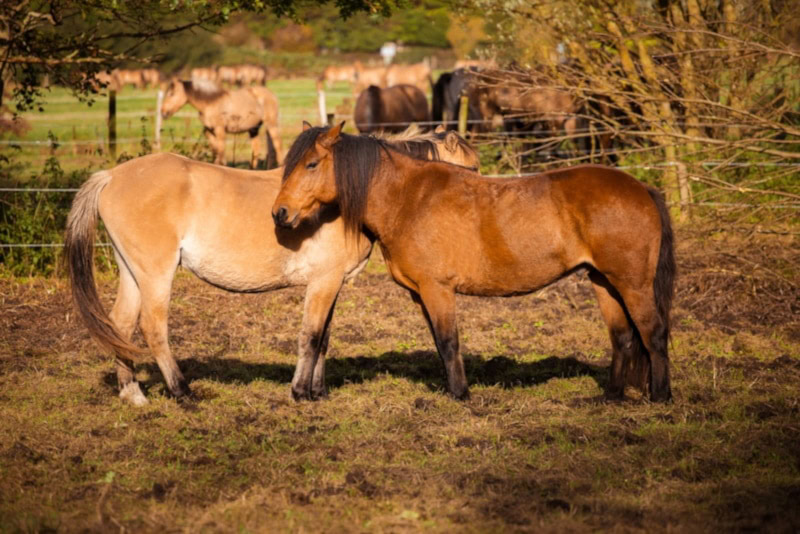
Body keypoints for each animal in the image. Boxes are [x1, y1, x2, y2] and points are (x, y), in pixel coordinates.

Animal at [64, 126, 480, 406]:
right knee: (153, 328)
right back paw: (183, 392)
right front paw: (300, 393)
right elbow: (310, 336)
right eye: (473, 170)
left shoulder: (331, 283)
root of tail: (110, 176)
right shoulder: (323, 282)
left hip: (132, 272)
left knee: (119, 325)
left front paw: (318, 391)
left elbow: (323, 338)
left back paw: (132, 393)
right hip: (156, 273)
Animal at [272, 123, 676, 403]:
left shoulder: (438, 289)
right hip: (603, 280)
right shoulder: (422, 294)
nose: (280, 213)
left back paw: (661, 396)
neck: (409, 199)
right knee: (623, 338)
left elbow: (449, 342)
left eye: (311, 164)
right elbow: (440, 343)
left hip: (632, 283)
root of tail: (642, 189)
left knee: (653, 333)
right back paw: (610, 397)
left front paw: (460, 395)